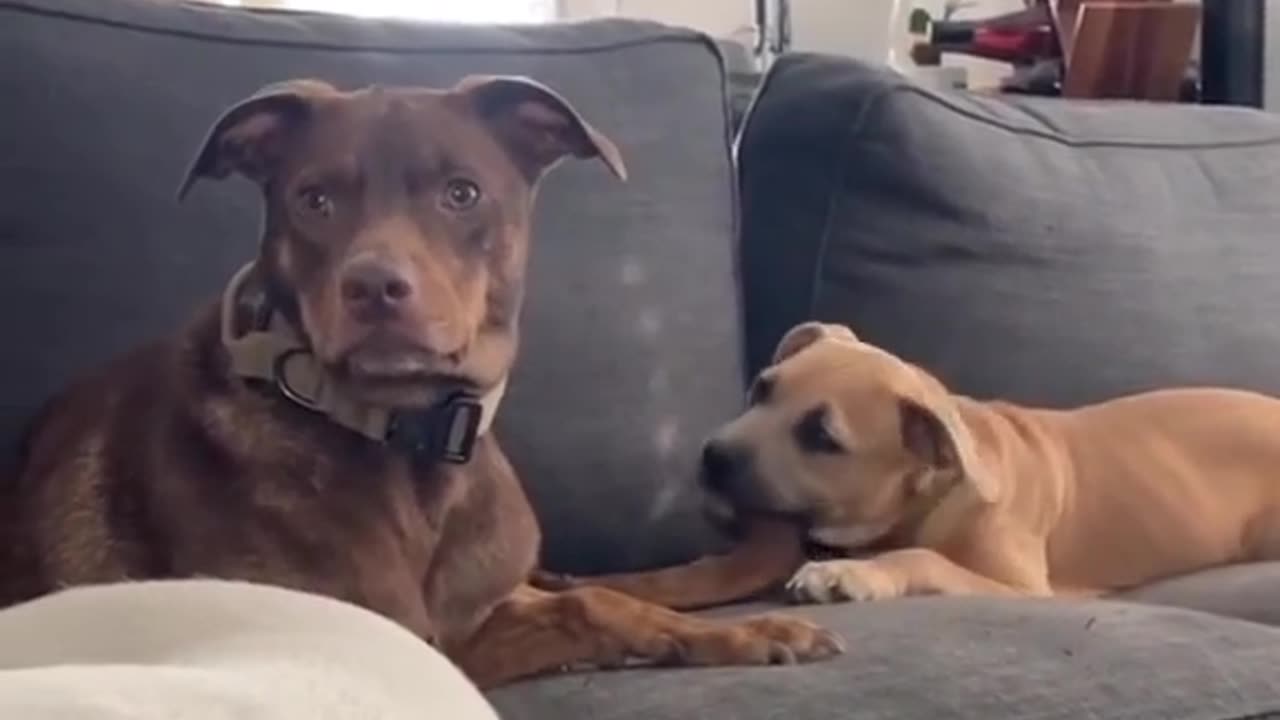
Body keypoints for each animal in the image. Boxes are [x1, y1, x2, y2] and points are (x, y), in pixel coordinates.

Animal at [5, 77, 844, 681]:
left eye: (461, 193)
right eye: (314, 200)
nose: (374, 287)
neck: (406, 441)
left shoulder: (468, 629)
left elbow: (596, 602)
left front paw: (748, 633)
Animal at [537, 322, 1280, 607]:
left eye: (821, 437)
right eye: (761, 388)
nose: (712, 458)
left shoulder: (1022, 590)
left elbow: (924, 559)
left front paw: (849, 575)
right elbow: (677, 578)